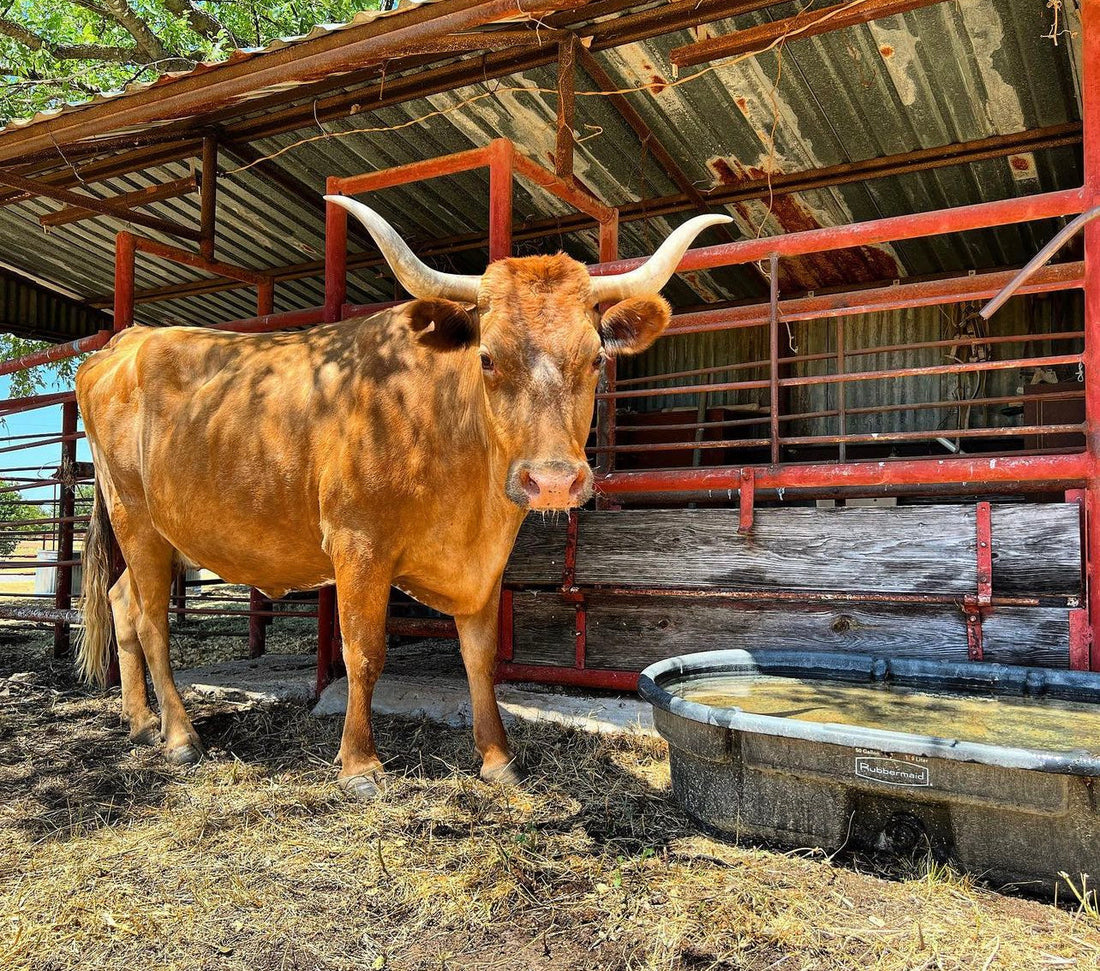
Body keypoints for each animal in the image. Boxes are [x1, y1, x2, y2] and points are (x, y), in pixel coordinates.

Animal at [75, 197, 731, 798]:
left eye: (596, 357)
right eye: (487, 357)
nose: (551, 481)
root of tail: (126, 341)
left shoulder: (485, 563)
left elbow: (479, 655)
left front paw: (498, 757)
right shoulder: (358, 545)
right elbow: (364, 652)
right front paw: (360, 765)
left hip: (165, 535)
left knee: (123, 604)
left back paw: (141, 723)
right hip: (134, 517)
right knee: (153, 621)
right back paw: (180, 736)